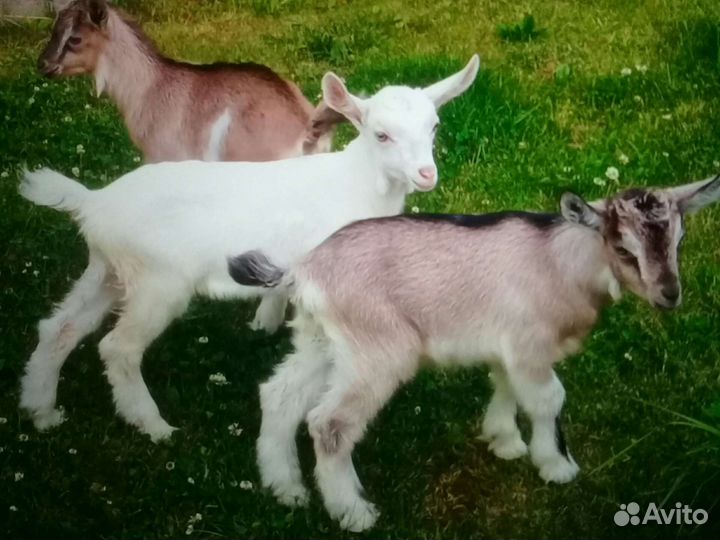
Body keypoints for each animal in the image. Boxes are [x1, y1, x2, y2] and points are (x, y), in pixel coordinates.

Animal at [18, 55, 480, 442]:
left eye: (434, 127)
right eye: (381, 135)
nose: (425, 174)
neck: (357, 182)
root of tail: (93, 202)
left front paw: (266, 323)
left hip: (108, 268)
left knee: (58, 327)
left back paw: (42, 411)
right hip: (157, 281)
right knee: (118, 348)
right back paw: (154, 426)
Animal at [229, 175, 720, 531]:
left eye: (679, 241)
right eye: (622, 248)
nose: (669, 295)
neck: (561, 262)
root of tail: (303, 269)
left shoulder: (508, 345)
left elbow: (505, 384)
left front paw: (504, 441)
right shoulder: (530, 345)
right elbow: (548, 400)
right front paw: (555, 465)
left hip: (322, 341)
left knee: (280, 395)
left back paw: (285, 489)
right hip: (377, 352)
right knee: (329, 424)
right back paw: (353, 513)